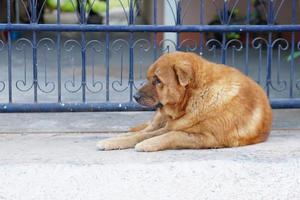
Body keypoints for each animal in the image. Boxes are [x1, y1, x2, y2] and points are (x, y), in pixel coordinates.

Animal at [97, 51, 274, 152]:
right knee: (144, 130)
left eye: (157, 80)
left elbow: (173, 135)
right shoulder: (172, 125)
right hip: (160, 119)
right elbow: (142, 135)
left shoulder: (208, 137)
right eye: (149, 78)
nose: (134, 96)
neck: (193, 98)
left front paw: (148, 144)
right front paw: (117, 141)